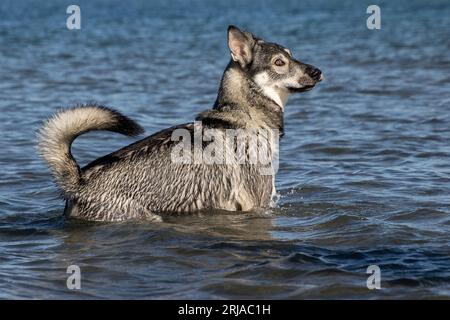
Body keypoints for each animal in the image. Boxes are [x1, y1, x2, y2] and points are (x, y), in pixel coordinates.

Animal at [37, 25, 320, 221]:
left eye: (292, 55)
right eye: (279, 62)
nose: (317, 71)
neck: (246, 116)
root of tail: (79, 182)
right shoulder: (257, 205)